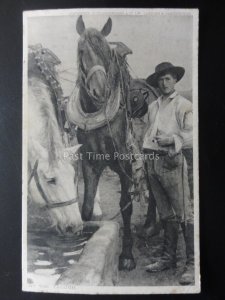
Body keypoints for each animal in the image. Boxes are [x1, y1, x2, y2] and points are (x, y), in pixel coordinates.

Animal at [71, 15, 138, 270]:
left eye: (106, 52)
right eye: (81, 50)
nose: (99, 91)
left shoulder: (125, 165)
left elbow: (126, 205)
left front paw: (127, 254)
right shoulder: (89, 163)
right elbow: (86, 209)